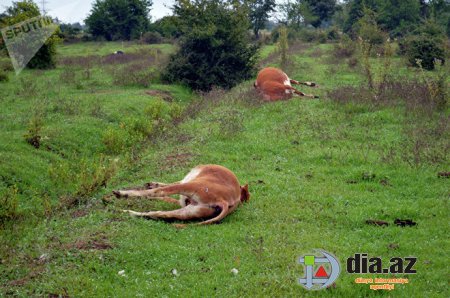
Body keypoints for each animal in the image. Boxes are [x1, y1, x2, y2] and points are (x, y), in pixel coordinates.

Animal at [112, 164, 250, 227]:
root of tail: (224, 201)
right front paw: (152, 184)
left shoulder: (184, 184)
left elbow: (161, 190)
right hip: (190, 210)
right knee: (158, 213)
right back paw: (126, 211)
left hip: (190, 186)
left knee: (160, 192)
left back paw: (121, 194)